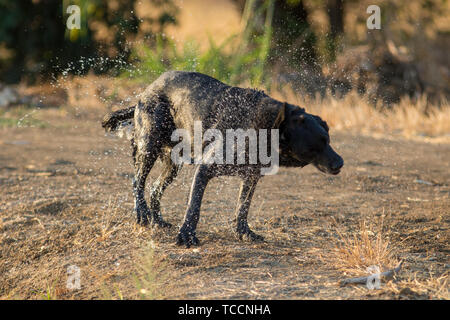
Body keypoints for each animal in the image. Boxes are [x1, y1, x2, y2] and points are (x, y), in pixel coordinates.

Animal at [102, 71, 342, 248]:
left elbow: (242, 208)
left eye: (328, 139)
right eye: (312, 148)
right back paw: (142, 213)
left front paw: (244, 233)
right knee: (137, 181)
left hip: (173, 165)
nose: (340, 163)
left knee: (154, 189)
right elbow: (194, 207)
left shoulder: (251, 177)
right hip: (148, 148)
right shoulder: (205, 170)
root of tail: (144, 93)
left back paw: (157, 220)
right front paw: (187, 235)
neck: (263, 126)